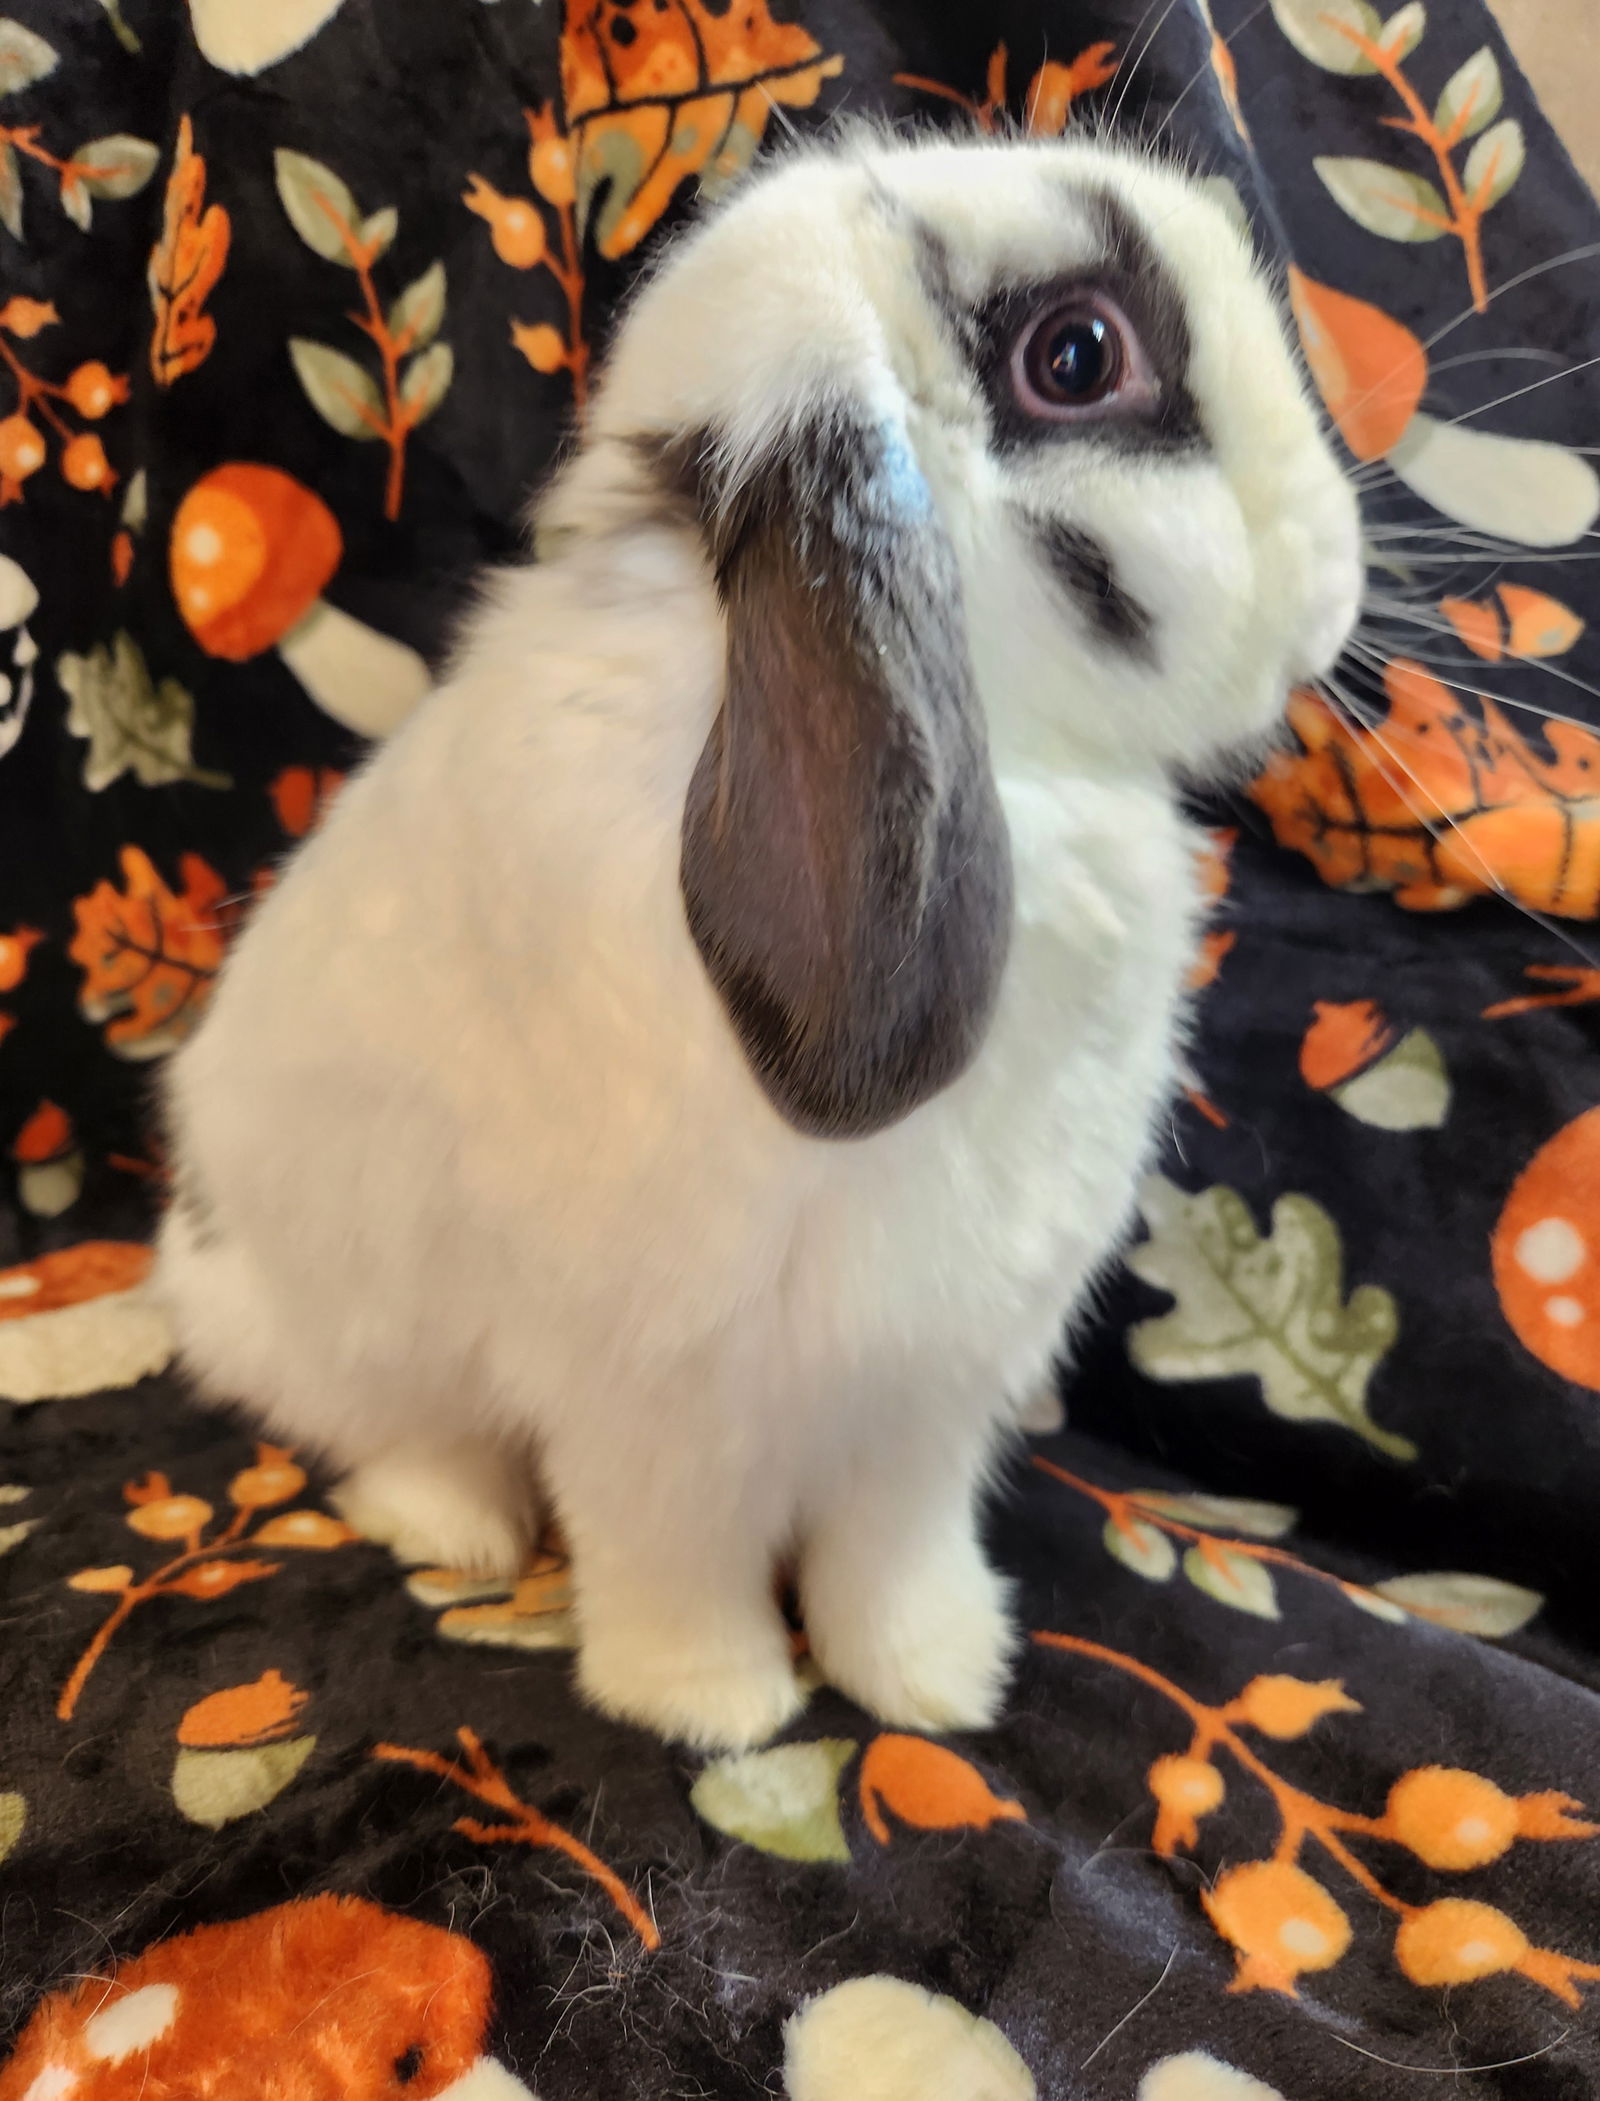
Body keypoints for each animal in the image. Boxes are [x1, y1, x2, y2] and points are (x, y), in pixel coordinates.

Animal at [152, 131, 1360, 1756]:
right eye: (1077, 355)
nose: (1337, 584)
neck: (1020, 759)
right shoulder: (657, 1384)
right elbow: (670, 1552)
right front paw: (709, 1707)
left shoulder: (928, 1389)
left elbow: (891, 1550)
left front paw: (937, 1681)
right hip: (347, 1319)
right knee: (403, 1436)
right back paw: (459, 1533)